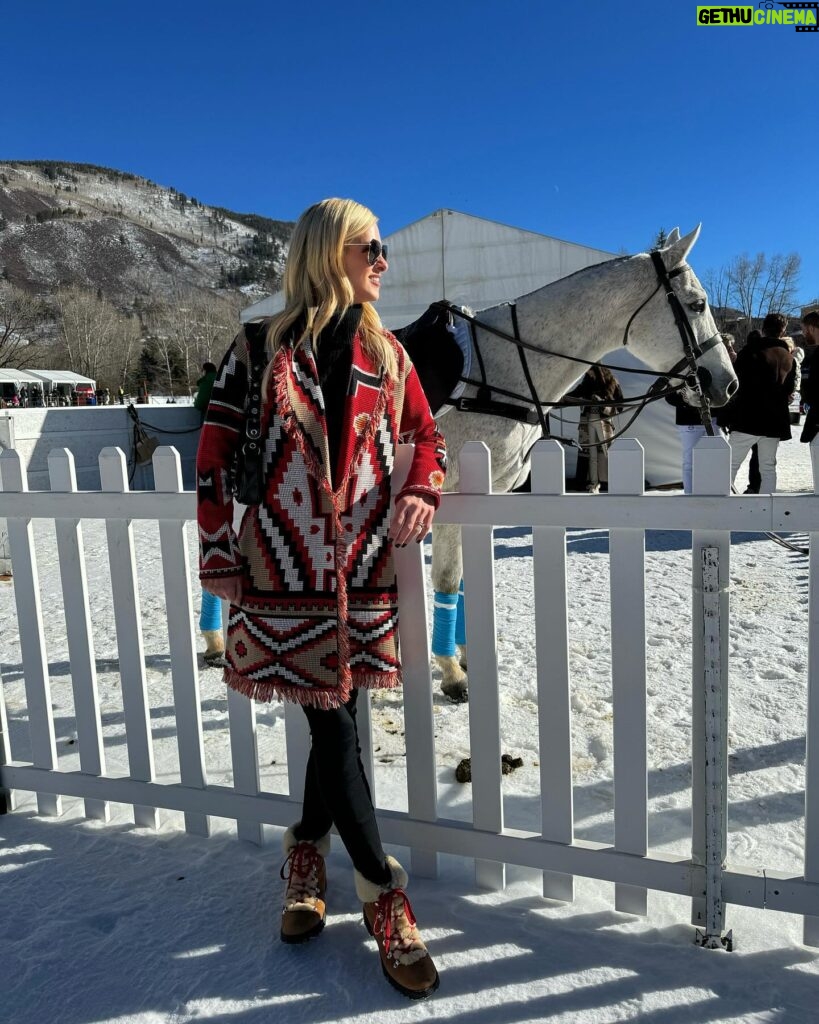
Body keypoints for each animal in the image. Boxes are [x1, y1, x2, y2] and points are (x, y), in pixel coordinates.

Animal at [432, 225, 737, 700]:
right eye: (698, 304)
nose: (728, 383)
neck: (495, 372)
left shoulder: (486, 498)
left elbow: (463, 579)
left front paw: (465, 657)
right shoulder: (453, 495)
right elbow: (448, 579)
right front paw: (451, 674)